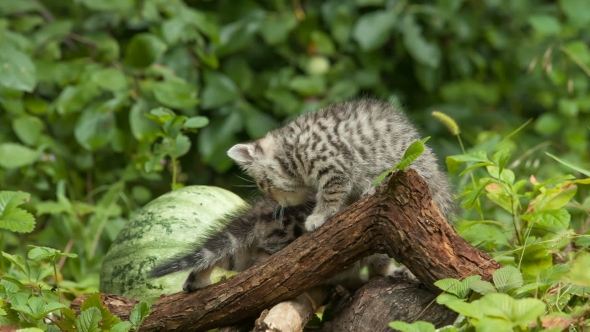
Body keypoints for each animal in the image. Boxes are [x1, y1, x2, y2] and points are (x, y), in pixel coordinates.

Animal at [229, 99, 456, 233]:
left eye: (264, 184)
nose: (280, 205)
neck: (290, 149)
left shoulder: (334, 168)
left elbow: (329, 195)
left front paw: (318, 216)